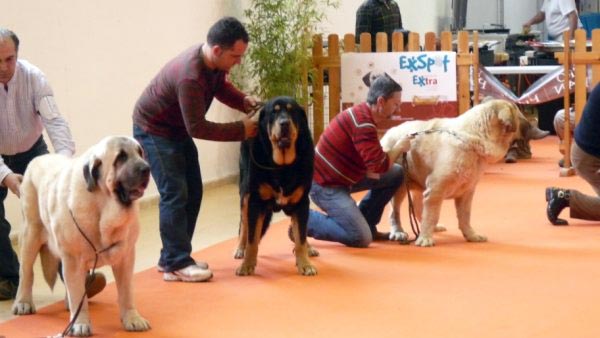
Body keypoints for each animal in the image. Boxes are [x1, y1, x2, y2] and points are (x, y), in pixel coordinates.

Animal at [11, 136, 151, 336]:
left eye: (140, 153)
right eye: (121, 158)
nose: (147, 168)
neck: (103, 206)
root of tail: (37, 159)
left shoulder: (125, 257)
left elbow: (126, 292)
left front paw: (132, 319)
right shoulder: (73, 260)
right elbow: (78, 294)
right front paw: (80, 324)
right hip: (31, 233)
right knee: (26, 272)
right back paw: (23, 302)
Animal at [234, 96, 318, 276]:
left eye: (292, 111)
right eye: (274, 112)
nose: (284, 123)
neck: (283, 166)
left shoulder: (302, 202)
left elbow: (300, 236)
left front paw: (304, 263)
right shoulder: (255, 202)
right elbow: (252, 238)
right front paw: (247, 265)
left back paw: (309, 248)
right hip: (245, 194)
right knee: (244, 226)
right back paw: (240, 248)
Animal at [382, 99, 516, 247]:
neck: (476, 137)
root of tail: (388, 132)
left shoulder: (466, 193)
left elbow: (465, 216)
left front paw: (471, 235)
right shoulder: (435, 190)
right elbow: (432, 215)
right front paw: (425, 238)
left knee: (417, 207)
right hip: (401, 186)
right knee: (395, 212)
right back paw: (399, 232)